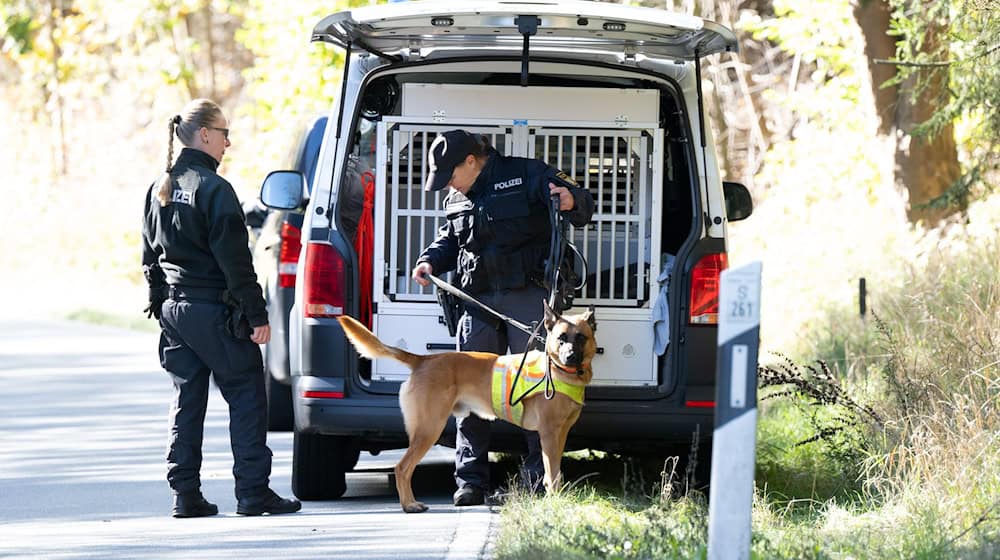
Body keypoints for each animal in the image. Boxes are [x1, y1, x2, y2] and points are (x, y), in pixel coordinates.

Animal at [340, 302, 596, 512]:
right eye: (561, 338)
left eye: (581, 337)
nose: (570, 357)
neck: (561, 372)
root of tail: (423, 360)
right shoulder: (549, 434)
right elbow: (552, 473)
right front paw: (555, 501)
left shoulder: (560, 434)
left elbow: (555, 471)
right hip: (428, 429)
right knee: (402, 467)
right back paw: (409, 505)